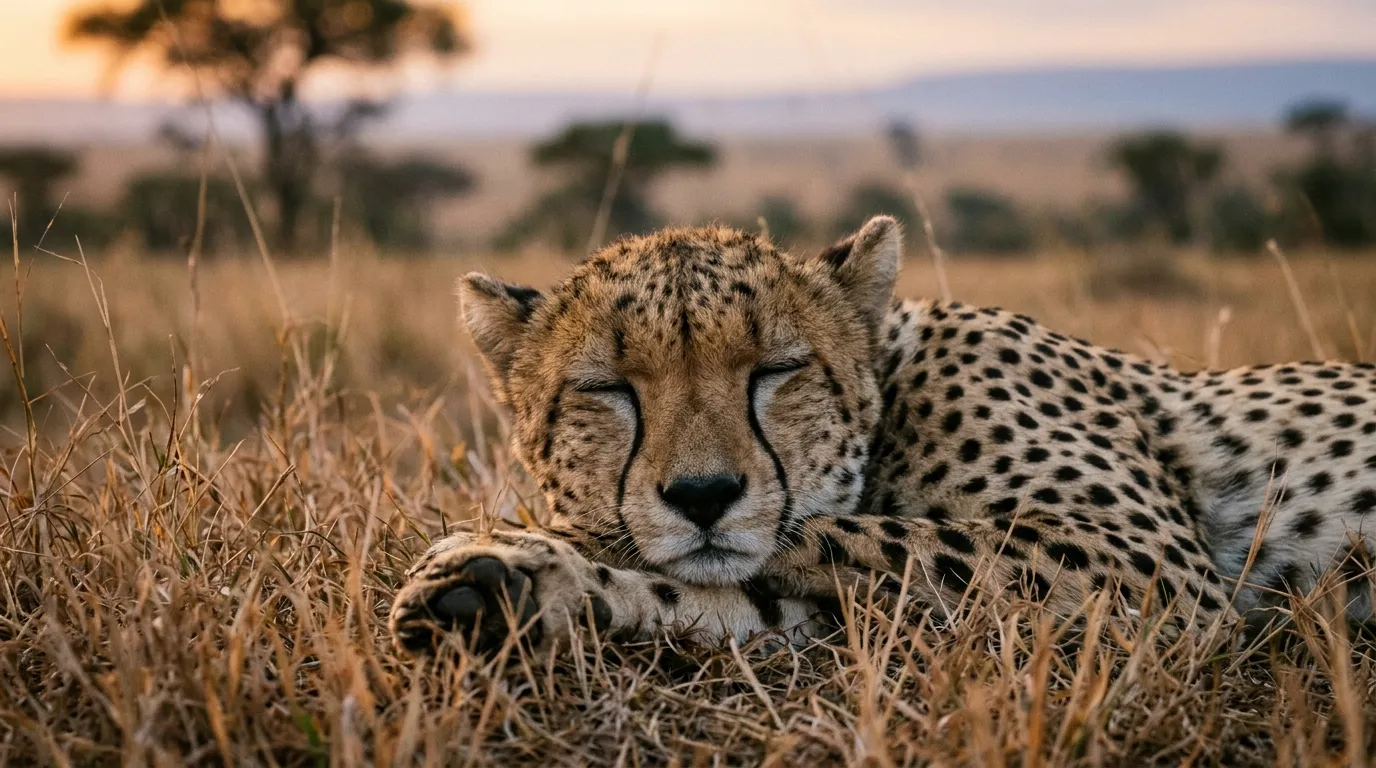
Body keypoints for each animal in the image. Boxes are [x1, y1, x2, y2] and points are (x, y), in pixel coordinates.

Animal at [389, 215, 1376, 657]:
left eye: (776, 370)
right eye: (608, 390)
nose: (704, 497)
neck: (896, 391)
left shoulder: (1152, 572)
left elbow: (853, 535)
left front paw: (532, 543)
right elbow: (721, 591)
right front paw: (505, 585)